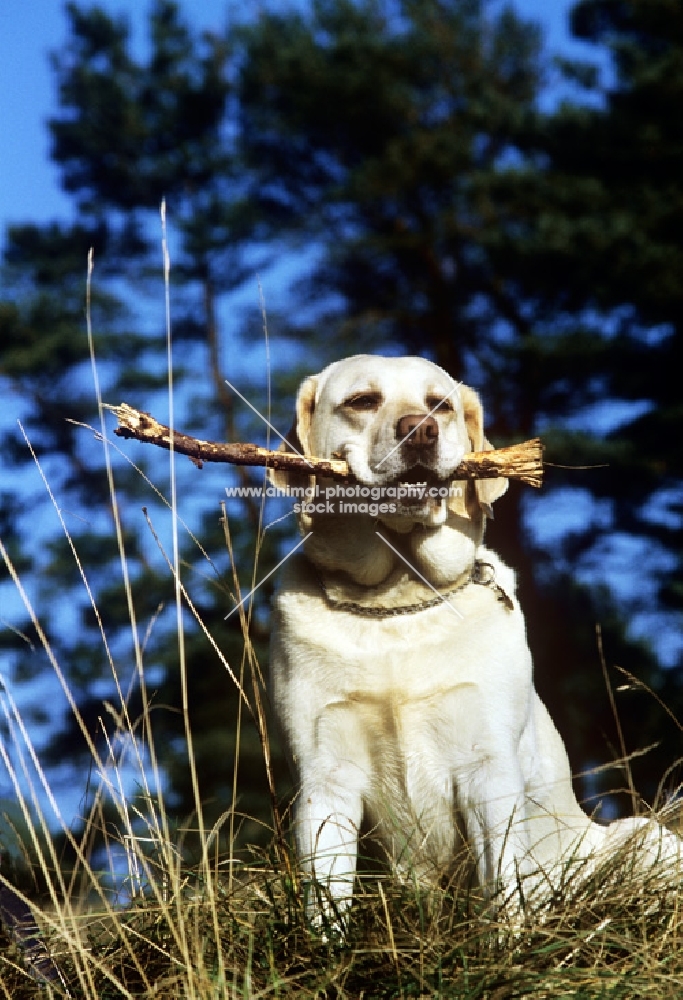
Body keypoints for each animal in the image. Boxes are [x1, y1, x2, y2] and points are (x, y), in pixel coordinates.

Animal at [268, 356, 680, 924]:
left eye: (438, 404)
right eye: (362, 401)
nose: (420, 430)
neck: (397, 605)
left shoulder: (488, 767)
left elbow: (502, 888)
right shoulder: (323, 780)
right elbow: (325, 907)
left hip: (647, 838)